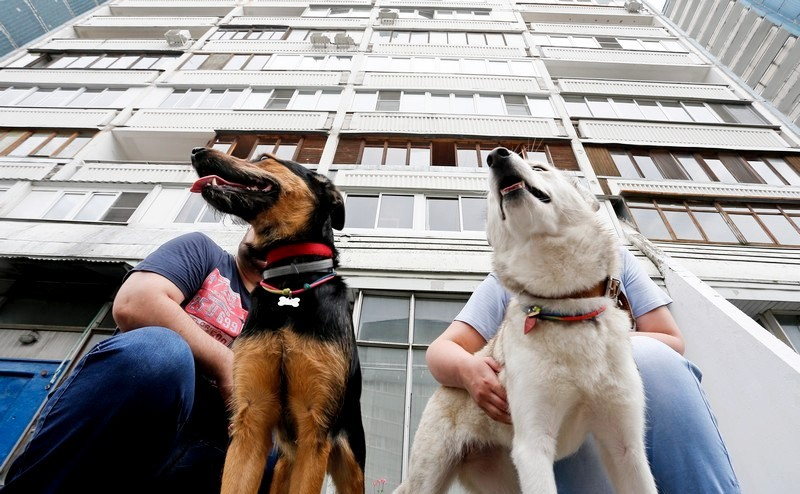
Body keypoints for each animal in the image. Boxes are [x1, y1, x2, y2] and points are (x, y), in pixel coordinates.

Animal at [191, 147, 366, 494]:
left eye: (263, 158)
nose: (197, 151)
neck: (291, 277)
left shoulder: (315, 429)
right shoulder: (251, 420)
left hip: (351, 465)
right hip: (284, 463)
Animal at [394, 148, 656, 494]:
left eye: (540, 167)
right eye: (490, 193)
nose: (496, 155)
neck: (568, 307)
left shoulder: (626, 445)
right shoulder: (533, 444)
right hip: (430, 475)